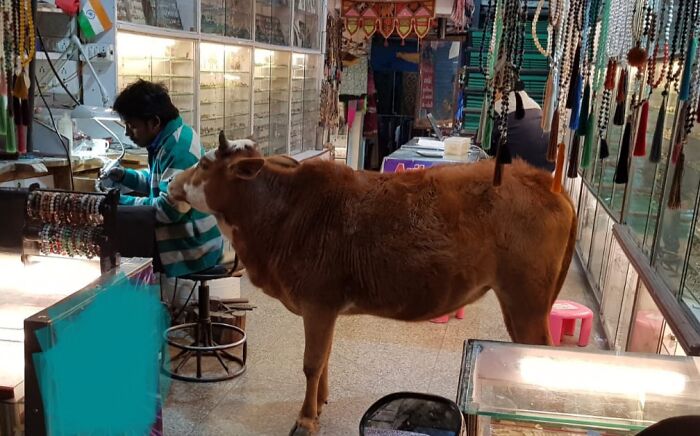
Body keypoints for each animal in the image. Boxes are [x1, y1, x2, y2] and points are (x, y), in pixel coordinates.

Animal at [169, 132, 578, 435]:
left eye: (204, 164)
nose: (171, 181)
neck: (281, 213)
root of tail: (543, 180)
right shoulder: (326, 309)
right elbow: (325, 357)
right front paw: (320, 402)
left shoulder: (317, 303)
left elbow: (312, 362)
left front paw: (306, 418)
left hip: (526, 301)